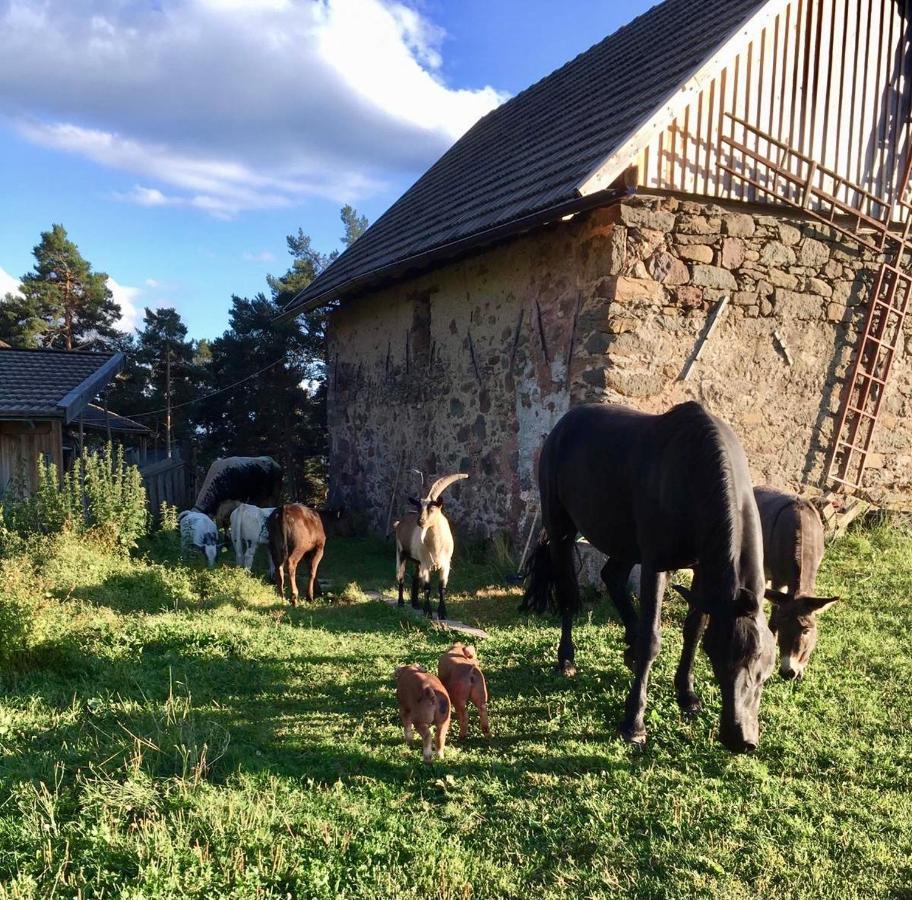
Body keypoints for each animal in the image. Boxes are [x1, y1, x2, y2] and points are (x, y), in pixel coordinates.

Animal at [392, 474, 466, 624]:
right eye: (419, 508)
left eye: (432, 509)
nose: (420, 522)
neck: (436, 546)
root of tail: (400, 522)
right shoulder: (426, 565)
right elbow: (427, 588)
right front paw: (428, 612)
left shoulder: (445, 565)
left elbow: (442, 588)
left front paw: (442, 613)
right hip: (401, 553)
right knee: (401, 577)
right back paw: (401, 602)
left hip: (417, 561)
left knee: (415, 577)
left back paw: (415, 604)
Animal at [524, 400, 772, 752]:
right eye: (716, 658)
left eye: (760, 661)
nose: (739, 737)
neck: (694, 472)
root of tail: (562, 426)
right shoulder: (656, 565)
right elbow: (652, 639)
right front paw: (634, 724)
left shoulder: (702, 567)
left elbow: (693, 629)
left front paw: (687, 695)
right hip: (561, 530)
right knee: (569, 592)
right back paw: (567, 660)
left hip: (624, 542)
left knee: (611, 576)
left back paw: (627, 648)